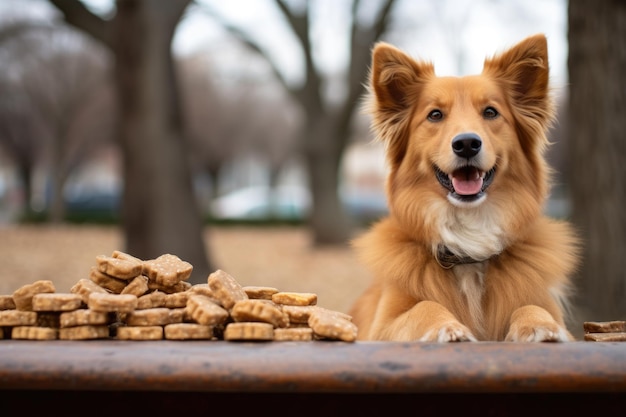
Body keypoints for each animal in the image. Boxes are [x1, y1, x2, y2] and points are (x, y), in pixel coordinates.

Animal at [348, 34, 576, 342]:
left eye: (491, 112)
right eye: (435, 115)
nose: (467, 143)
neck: (470, 252)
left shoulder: (553, 313)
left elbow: (533, 307)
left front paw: (540, 325)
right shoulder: (380, 328)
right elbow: (425, 306)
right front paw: (447, 326)